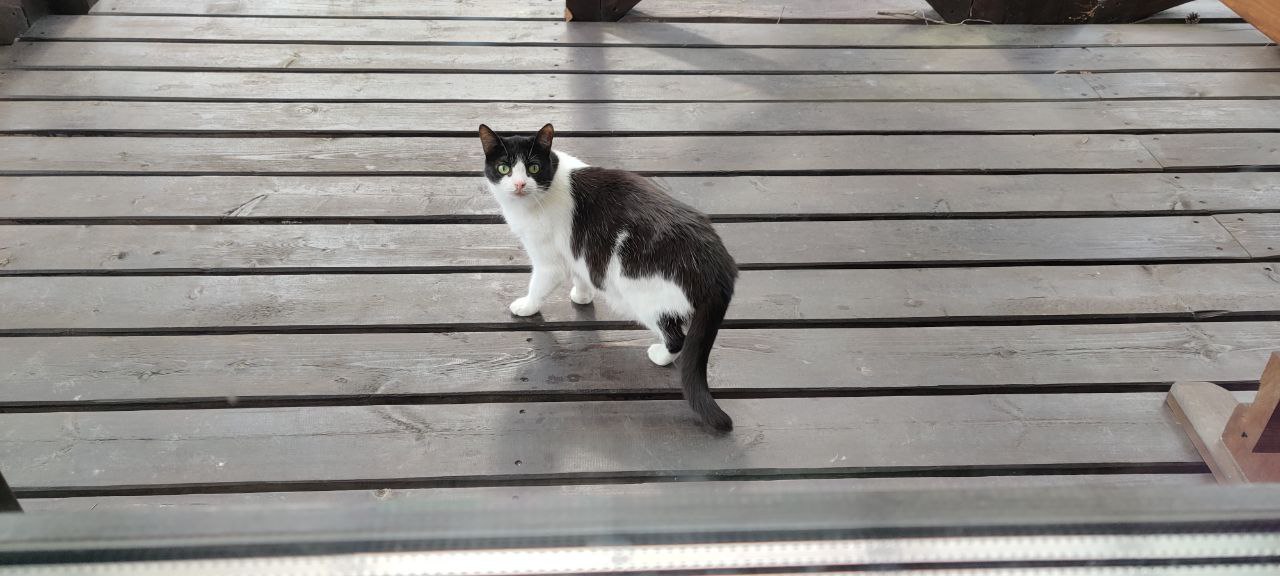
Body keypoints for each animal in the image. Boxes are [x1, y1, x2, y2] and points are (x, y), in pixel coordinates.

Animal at [479, 123, 737, 432]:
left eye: (533, 167)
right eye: (504, 168)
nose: (519, 185)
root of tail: (718, 262)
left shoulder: (549, 262)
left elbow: (538, 286)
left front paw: (527, 306)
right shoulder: (578, 252)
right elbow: (582, 274)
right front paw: (582, 295)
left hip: (645, 297)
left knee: (677, 338)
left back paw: (660, 355)